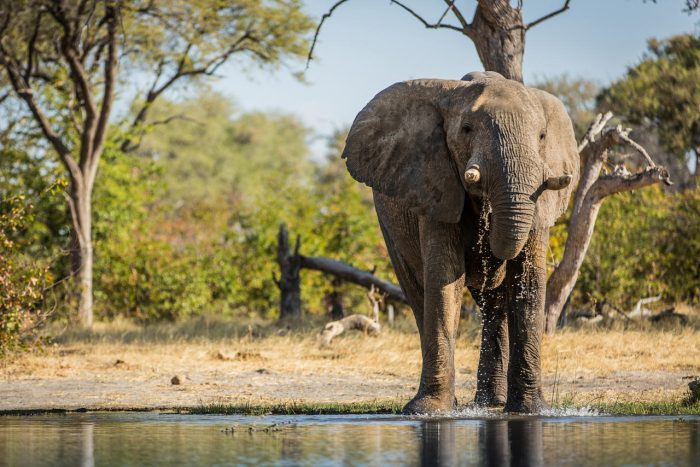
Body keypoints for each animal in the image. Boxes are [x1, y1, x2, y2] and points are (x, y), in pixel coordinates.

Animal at [342, 70, 576, 414]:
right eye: (466, 129)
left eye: (543, 136)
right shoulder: (434, 185)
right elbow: (445, 280)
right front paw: (428, 411)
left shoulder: (540, 201)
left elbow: (528, 283)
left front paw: (531, 411)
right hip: (390, 226)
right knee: (419, 293)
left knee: (494, 305)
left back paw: (492, 403)